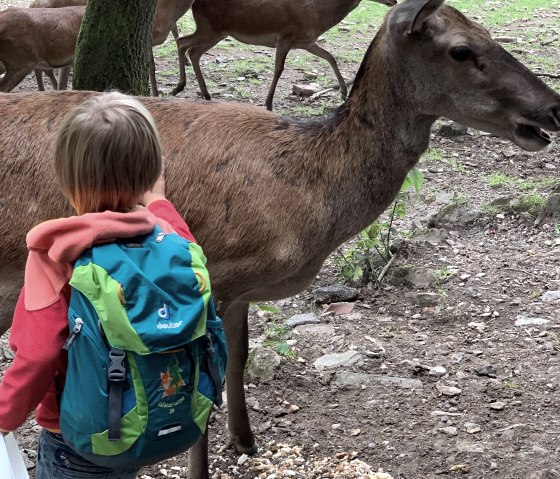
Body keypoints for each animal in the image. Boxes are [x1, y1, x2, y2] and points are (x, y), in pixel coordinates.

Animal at [173, 0, 396, 110]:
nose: (394, 0)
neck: (318, 16)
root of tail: (194, 4)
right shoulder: (285, 38)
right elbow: (278, 70)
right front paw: (268, 103)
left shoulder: (306, 43)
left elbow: (330, 57)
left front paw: (343, 93)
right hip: (210, 29)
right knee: (183, 43)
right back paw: (179, 87)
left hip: (217, 33)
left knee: (193, 51)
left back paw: (205, 94)